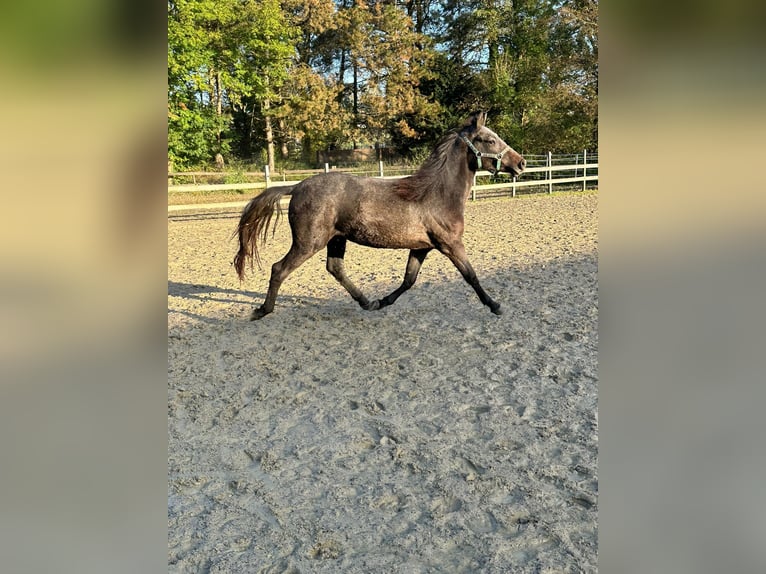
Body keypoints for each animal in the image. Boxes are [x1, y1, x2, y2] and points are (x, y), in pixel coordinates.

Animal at [231, 110, 524, 322]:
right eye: (490, 140)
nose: (521, 163)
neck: (437, 194)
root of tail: (297, 186)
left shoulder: (422, 247)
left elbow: (409, 280)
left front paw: (383, 301)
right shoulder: (450, 244)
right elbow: (471, 275)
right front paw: (495, 305)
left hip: (336, 239)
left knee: (335, 268)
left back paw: (367, 302)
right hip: (308, 242)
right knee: (279, 269)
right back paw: (262, 311)